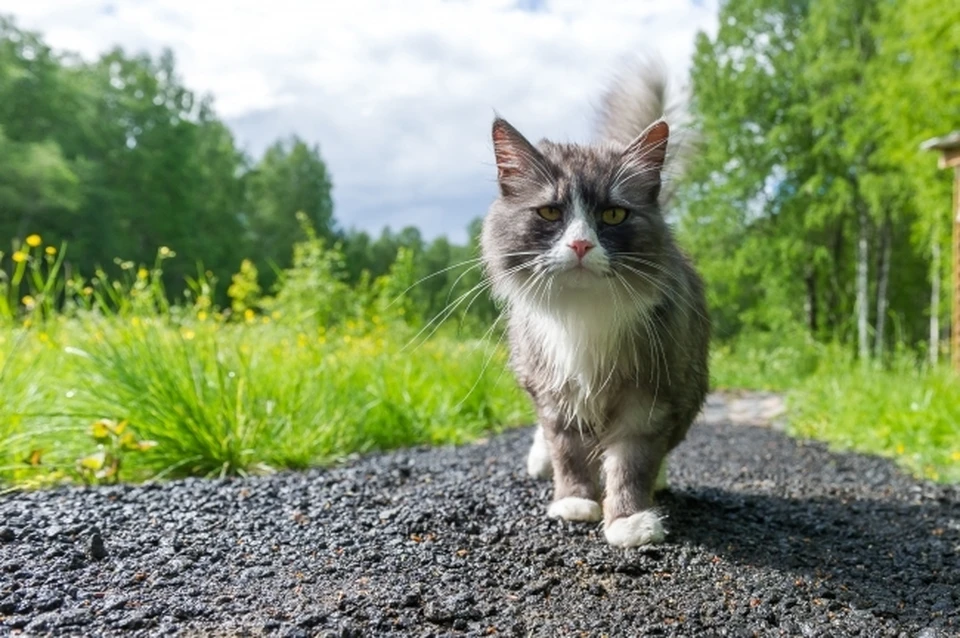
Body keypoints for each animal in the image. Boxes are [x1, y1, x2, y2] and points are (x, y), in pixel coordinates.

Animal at [484, 57, 708, 552]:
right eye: (550, 213)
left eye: (613, 215)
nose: (582, 244)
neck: (582, 318)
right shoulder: (554, 392)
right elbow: (567, 451)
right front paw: (574, 502)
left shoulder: (649, 395)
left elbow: (630, 464)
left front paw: (629, 520)